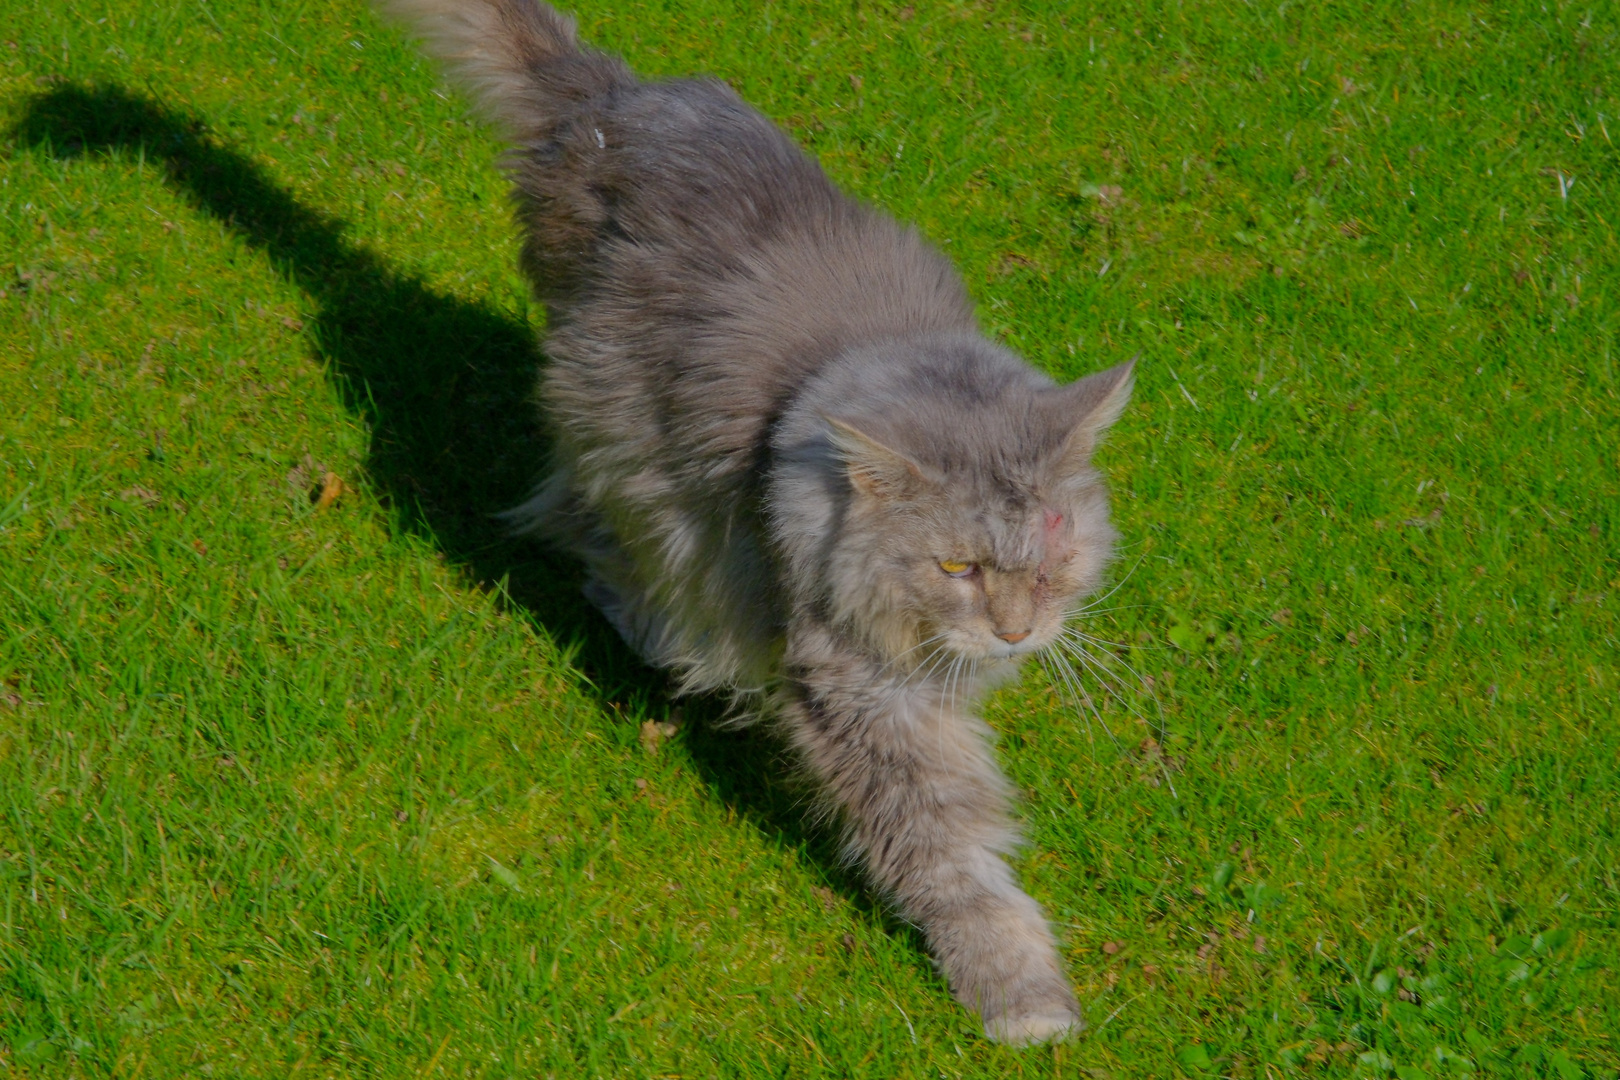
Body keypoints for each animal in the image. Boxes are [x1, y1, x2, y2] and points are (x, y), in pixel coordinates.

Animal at [383, 0, 1134, 1049]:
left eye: (1053, 553)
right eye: (957, 568)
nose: (1018, 633)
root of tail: (615, 98)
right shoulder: (859, 691)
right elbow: (950, 849)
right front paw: (1021, 996)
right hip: (625, 445)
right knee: (580, 525)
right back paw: (660, 634)